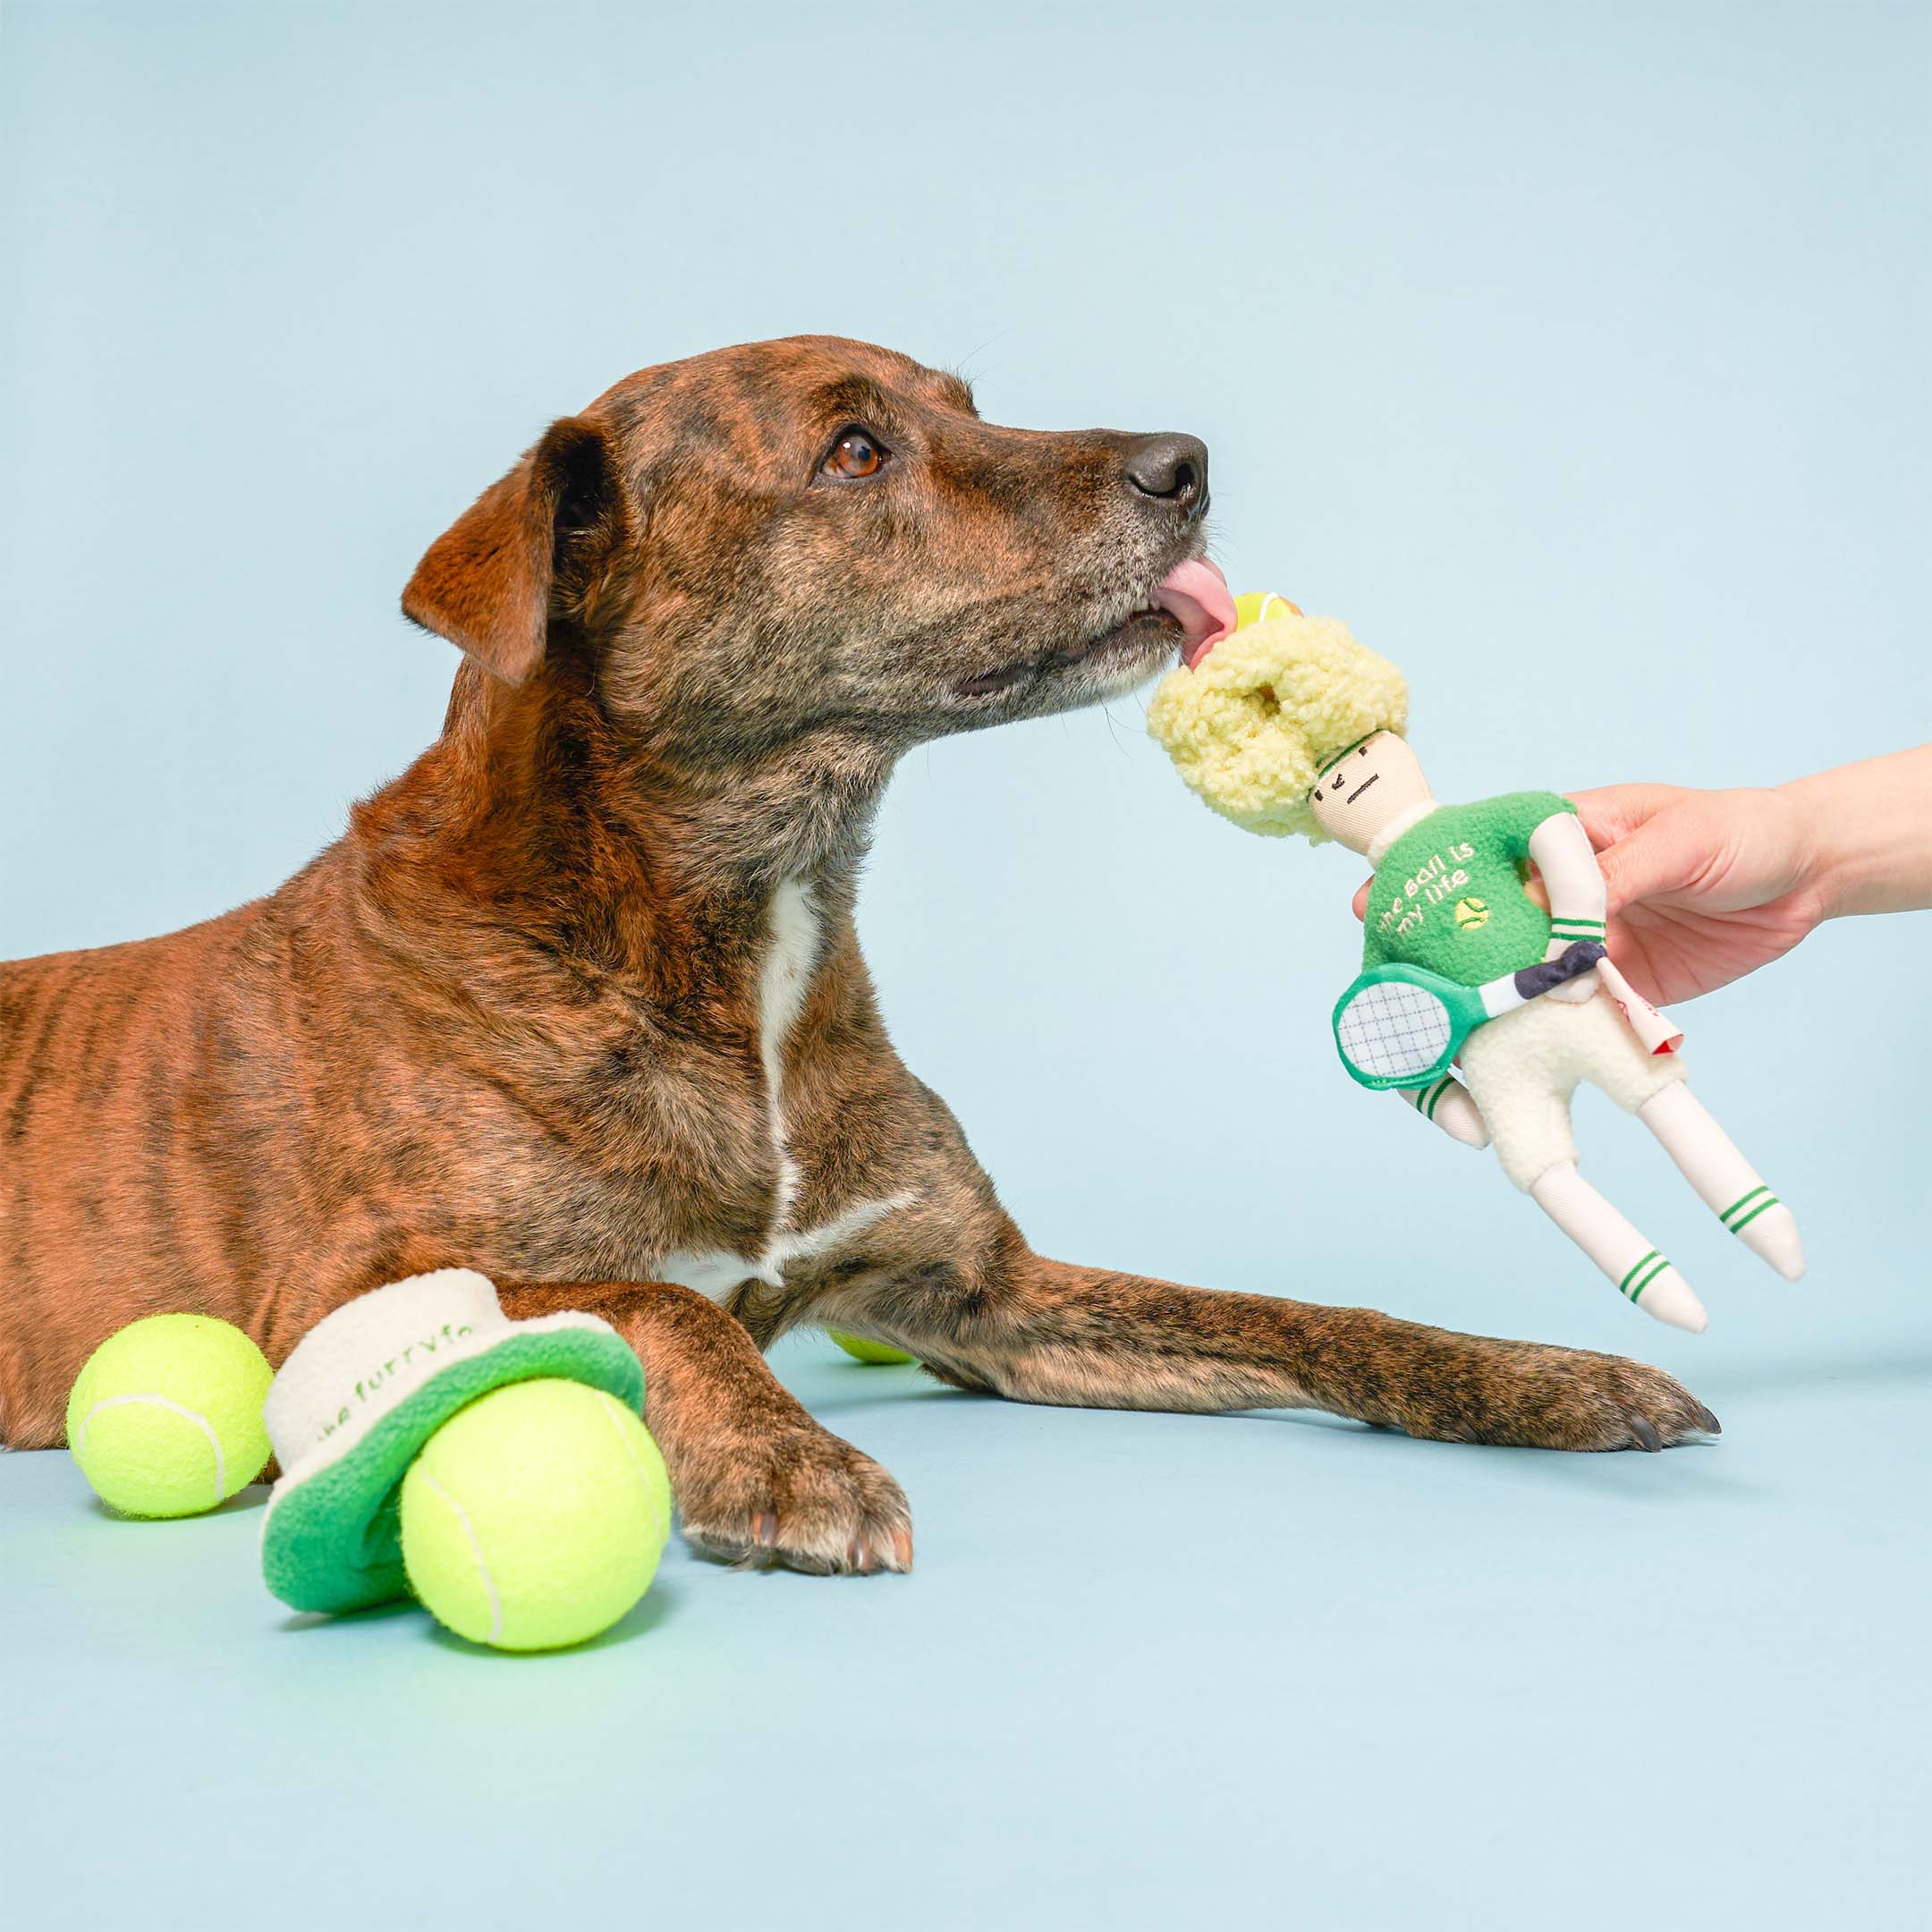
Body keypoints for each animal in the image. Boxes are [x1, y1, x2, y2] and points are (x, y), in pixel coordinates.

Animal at [4, 335, 1723, 1568]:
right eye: (853, 451)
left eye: (967, 403)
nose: (1187, 462)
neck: (740, 927)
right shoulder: (351, 1290)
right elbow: (664, 1304)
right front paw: (785, 1454)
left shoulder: (981, 1293)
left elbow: (1298, 1318)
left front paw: (1541, 1373)